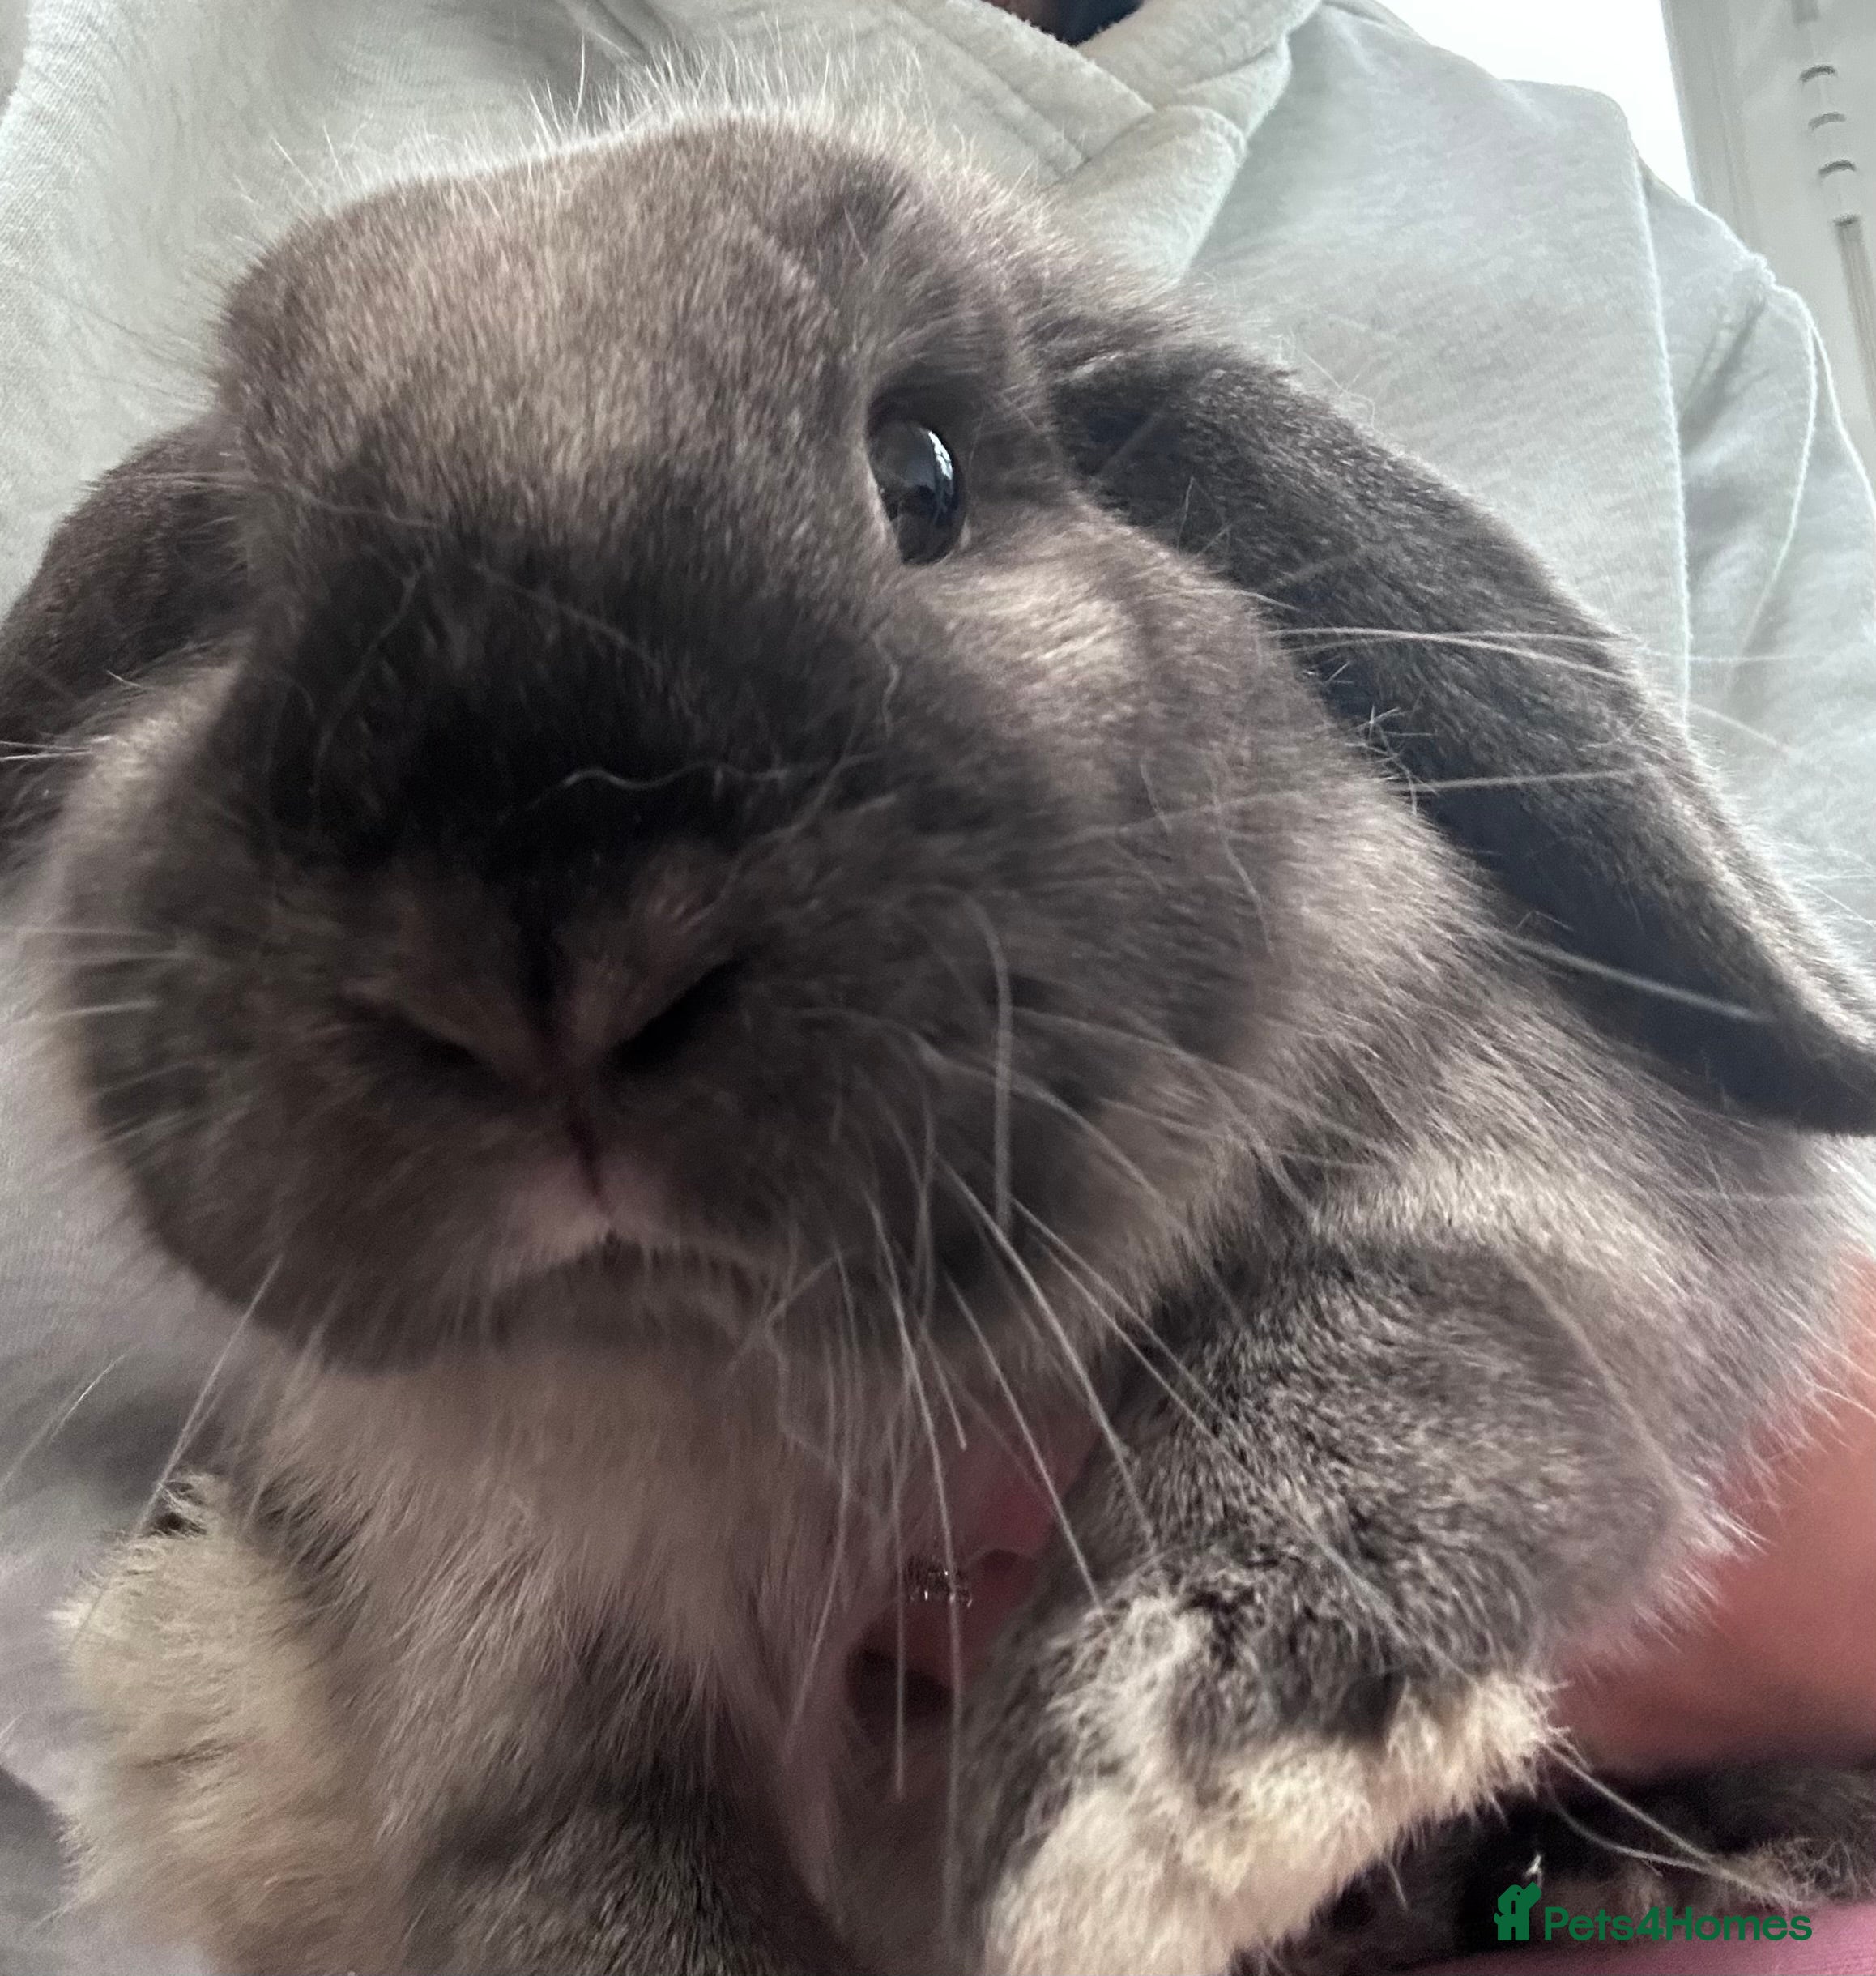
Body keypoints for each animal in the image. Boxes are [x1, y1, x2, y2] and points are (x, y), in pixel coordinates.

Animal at [5, 104, 1876, 1976]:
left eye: (925, 477)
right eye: (238, 585)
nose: (538, 978)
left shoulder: (1549, 1161)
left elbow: (1396, 1355)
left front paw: (1154, 1819)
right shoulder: (494, 1639)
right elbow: (582, 1861)